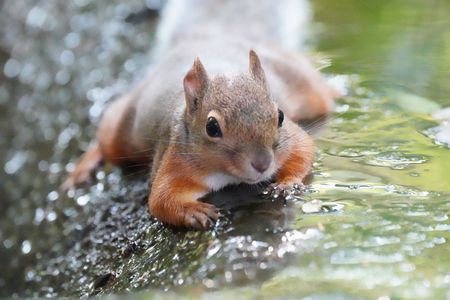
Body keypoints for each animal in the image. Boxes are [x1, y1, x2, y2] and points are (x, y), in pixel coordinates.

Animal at [62, 0, 338, 230]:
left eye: (280, 116)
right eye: (212, 127)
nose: (262, 164)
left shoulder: (289, 139)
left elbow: (304, 149)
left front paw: (287, 182)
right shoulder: (176, 162)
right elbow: (161, 200)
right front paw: (194, 212)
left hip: (305, 87)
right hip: (123, 132)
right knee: (107, 137)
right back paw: (83, 167)